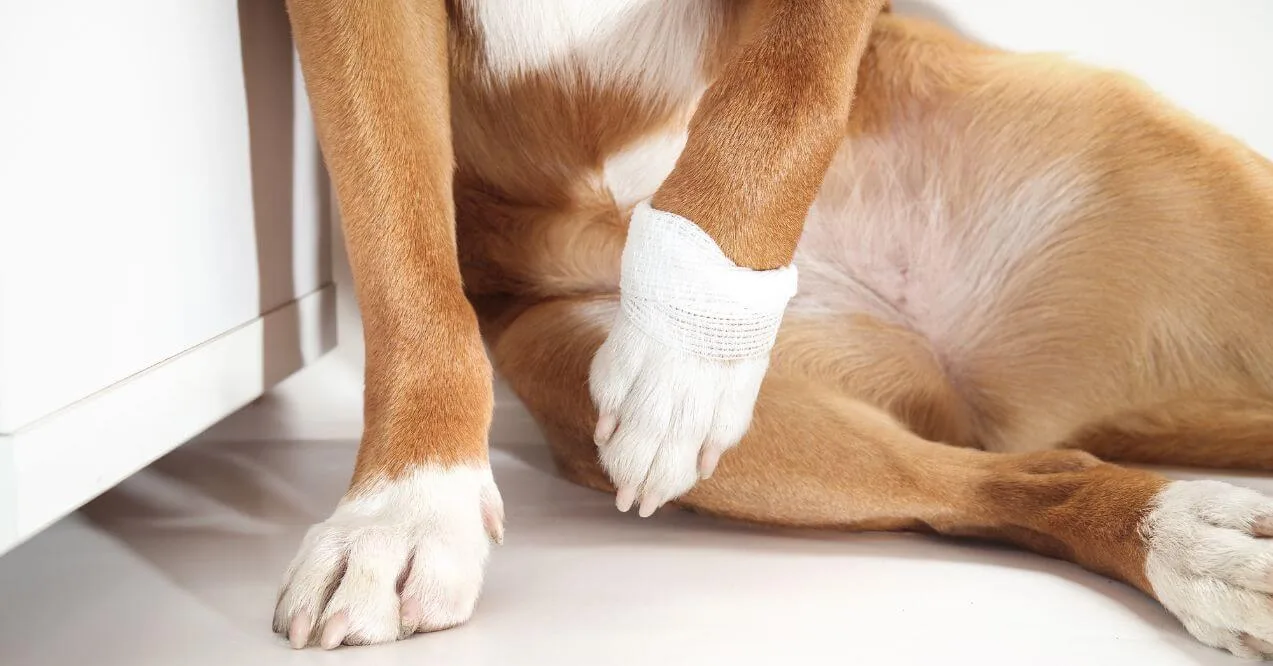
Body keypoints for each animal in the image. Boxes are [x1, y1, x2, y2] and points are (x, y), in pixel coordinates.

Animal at [268, 0, 1273, 657]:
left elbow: (787, 77)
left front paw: (688, 339)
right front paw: (403, 507)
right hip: (576, 369)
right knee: (1021, 478)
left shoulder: (795, 67)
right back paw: (1183, 536)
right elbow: (398, 237)